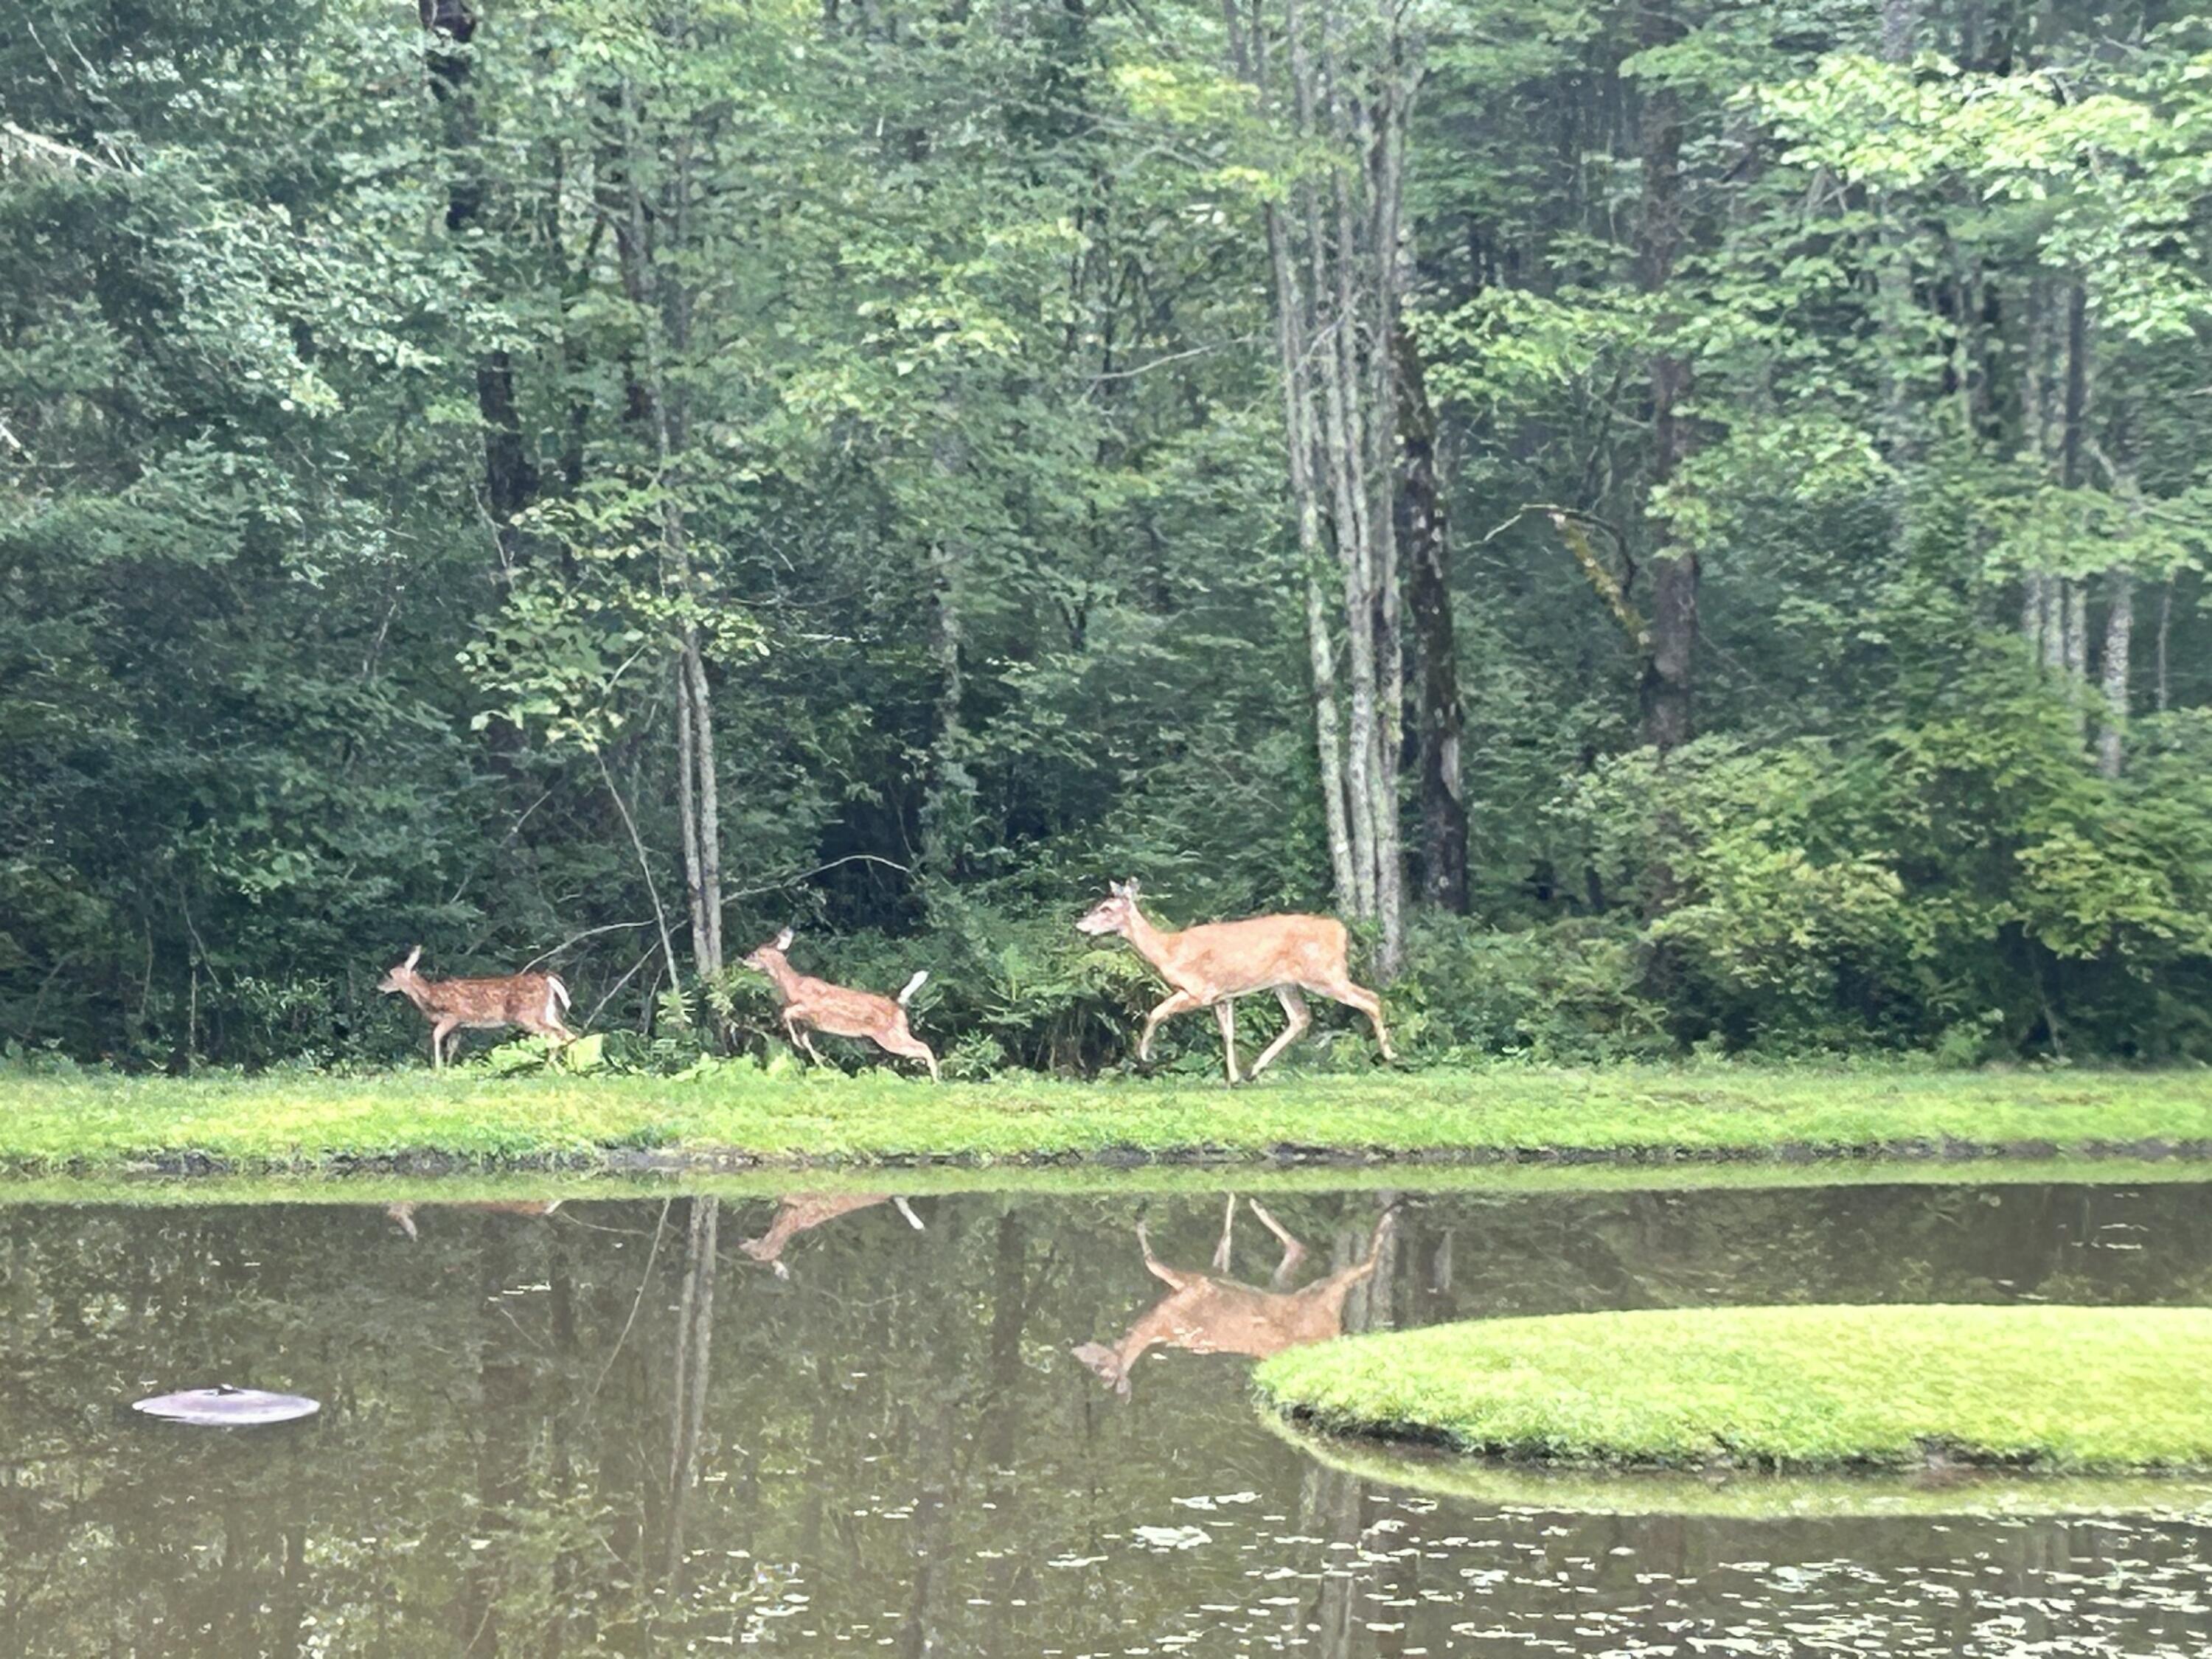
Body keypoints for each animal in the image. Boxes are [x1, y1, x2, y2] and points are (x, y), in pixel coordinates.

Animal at [376, 945, 576, 1068]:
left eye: (392, 975)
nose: (379, 986)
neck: (432, 997)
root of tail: (548, 981)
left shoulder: (454, 1016)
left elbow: (436, 1035)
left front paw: (438, 1068)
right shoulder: (460, 1026)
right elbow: (452, 1046)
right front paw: (449, 1067)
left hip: (527, 1015)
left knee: (555, 1035)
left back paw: (549, 1065)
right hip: (548, 1012)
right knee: (568, 1033)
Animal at [741, 927, 940, 1080]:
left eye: (756, 953)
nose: (743, 960)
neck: (793, 987)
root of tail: (897, 1005)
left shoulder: (811, 1008)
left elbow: (786, 1013)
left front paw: (801, 1047)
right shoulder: (807, 1023)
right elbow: (805, 1039)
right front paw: (821, 1064)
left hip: (890, 1036)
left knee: (924, 1047)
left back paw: (936, 1081)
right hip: (896, 1033)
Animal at [1072, 1197, 1395, 1398]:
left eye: (1103, 1370)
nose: (1089, 1356)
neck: (1161, 1325)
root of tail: (1335, 1332)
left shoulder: (1193, 1286)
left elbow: (1151, 1259)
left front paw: (1140, 1215)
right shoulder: (1208, 1278)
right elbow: (1225, 1246)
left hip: (1322, 1299)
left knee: (1354, 1265)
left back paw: (1388, 1216)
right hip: (1291, 1289)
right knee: (1299, 1249)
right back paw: (1259, 1206)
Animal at [1075, 879, 1394, 1083]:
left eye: (1106, 909)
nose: (1080, 924)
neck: (1169, 950)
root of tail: (1341, 930)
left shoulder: (1199, 991)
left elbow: (1156, 1012)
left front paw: (1144, 1055)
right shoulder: (1222, 997)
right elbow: (1227, 1034)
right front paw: (1234, 1076)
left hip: (1324, 974)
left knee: (1371, 999)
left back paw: (1390, 1054)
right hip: (1286, 982)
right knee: (1301, 1017)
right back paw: (1254, 1071)